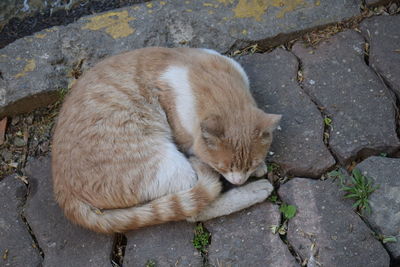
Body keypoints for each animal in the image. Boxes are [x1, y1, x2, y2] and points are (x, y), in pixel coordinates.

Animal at [52, 47, 282, 233]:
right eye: (221, 166)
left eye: (250, 163)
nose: (239, 181)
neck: (205, 76)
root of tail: (64, 191)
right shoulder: (187, 138)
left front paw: (259, 166)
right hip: (173, 167)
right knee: (195, 210)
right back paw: (256, 190)